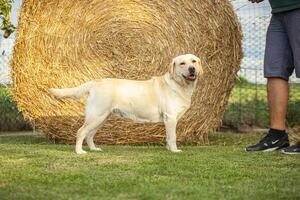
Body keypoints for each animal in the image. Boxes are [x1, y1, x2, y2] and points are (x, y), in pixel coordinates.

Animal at [49, 54, 204, 155]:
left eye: (194, 61)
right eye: (182, 63)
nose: (192, 69)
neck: (179, 85)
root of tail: (95, 82)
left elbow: (168, 137)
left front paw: (168, 149)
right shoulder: (170, 118)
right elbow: (173, 137)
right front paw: (174, 150)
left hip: (101, 118)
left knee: (89, 135)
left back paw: (94, 149)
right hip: (96, 116)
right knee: (81, 132)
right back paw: (79, 152)